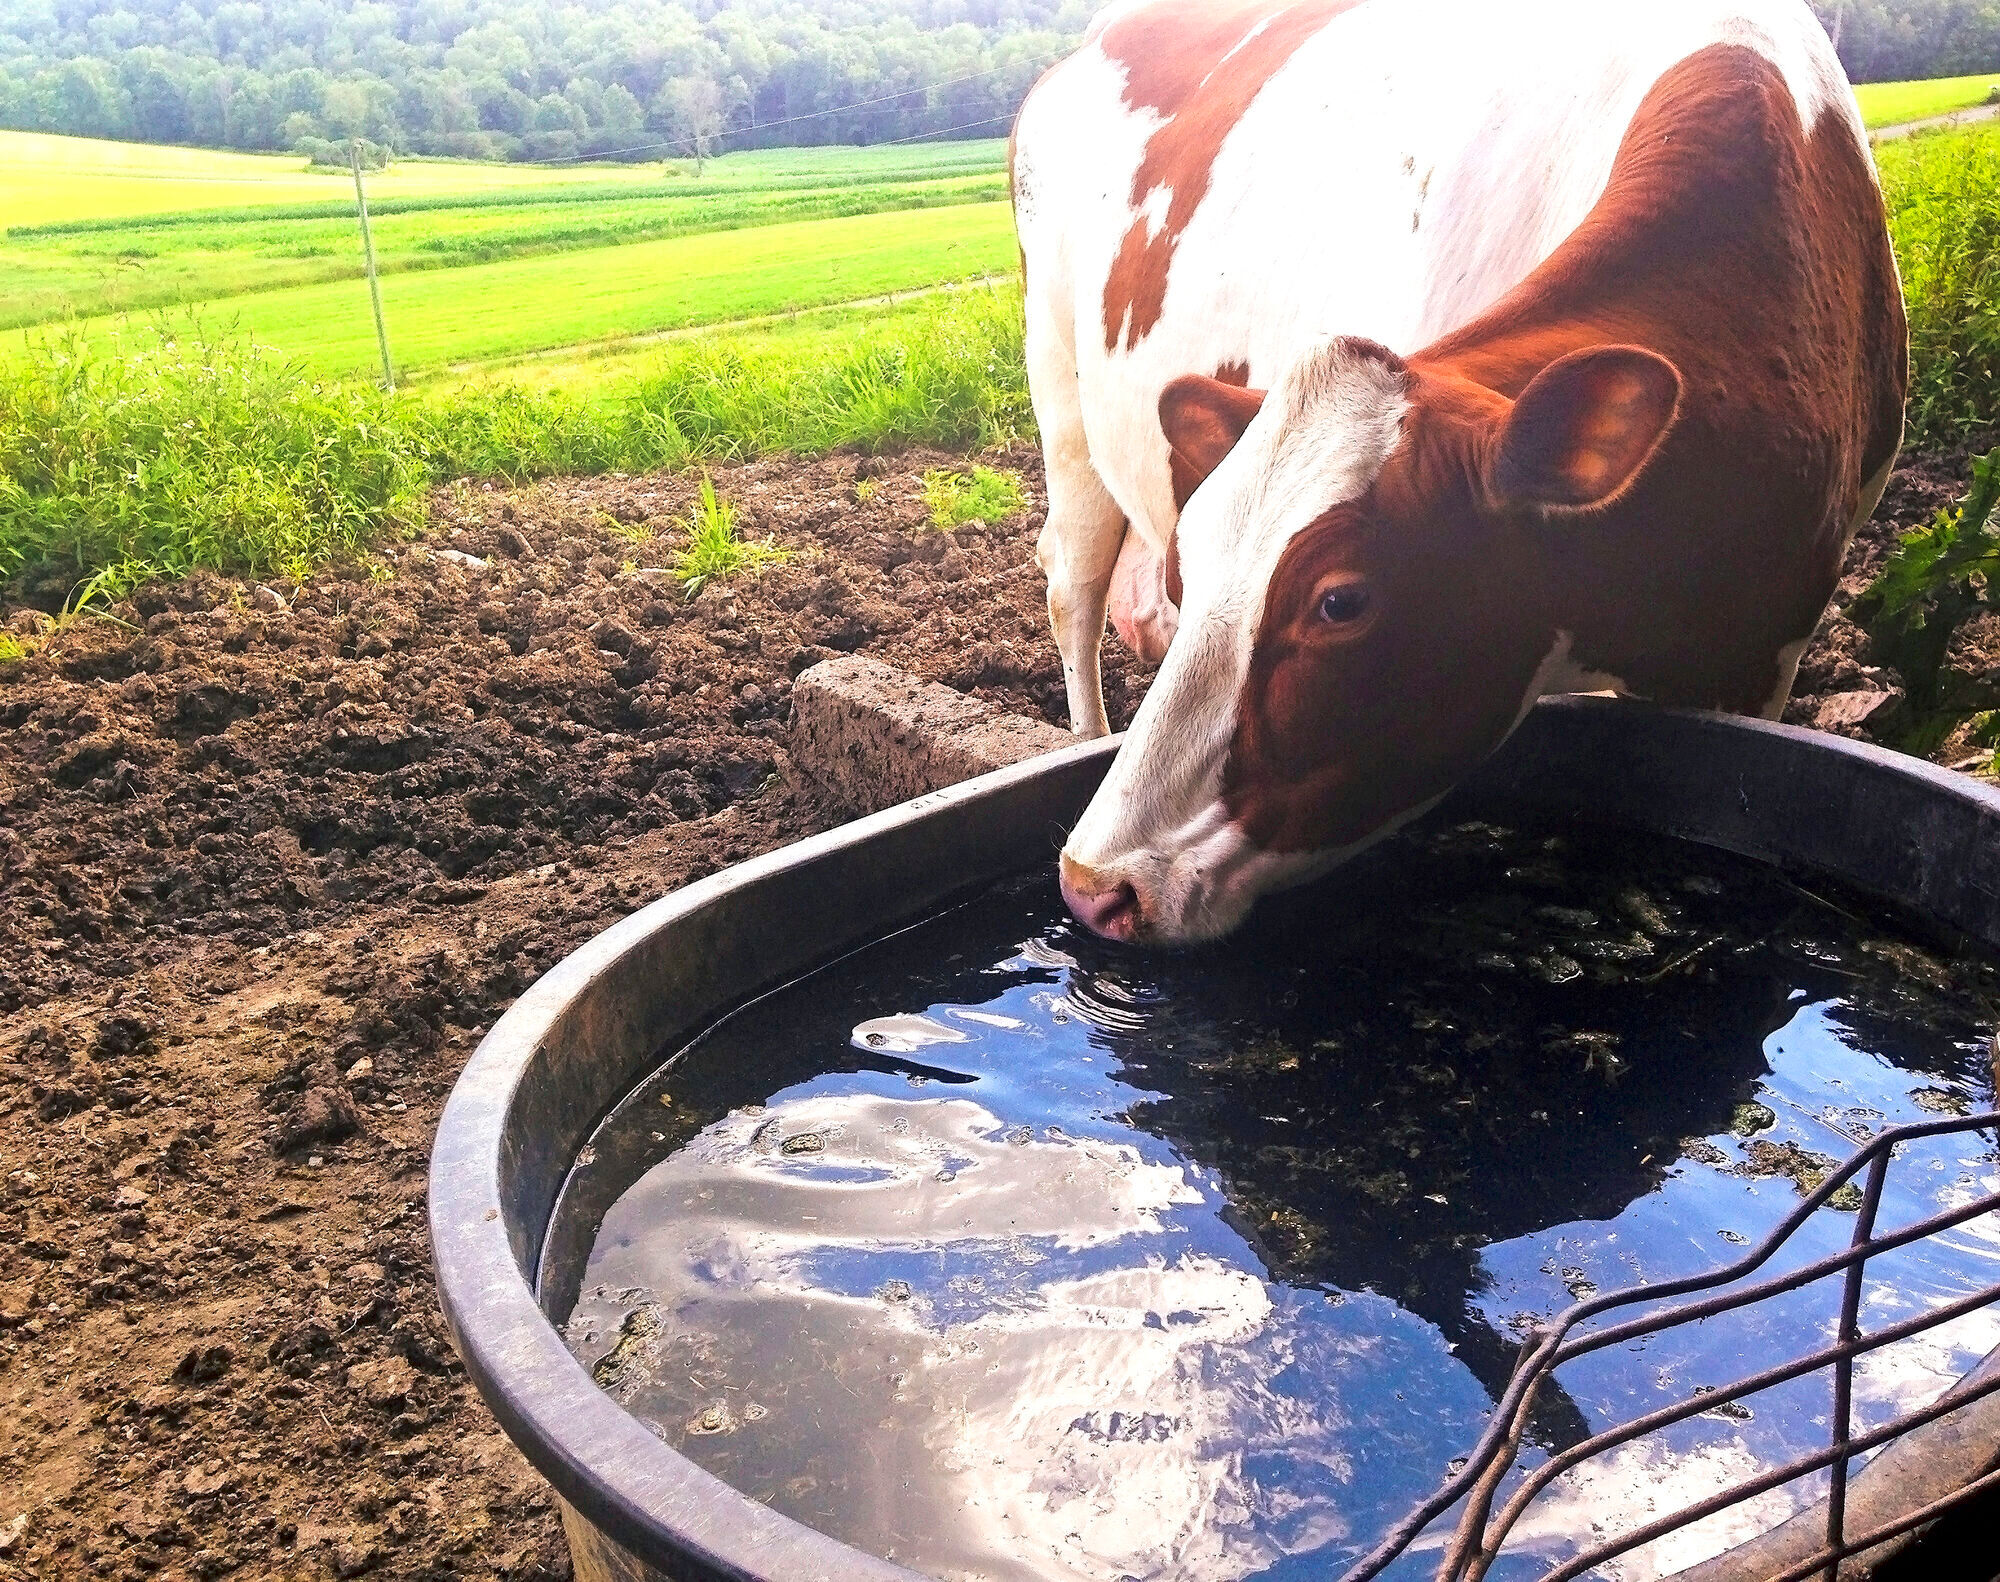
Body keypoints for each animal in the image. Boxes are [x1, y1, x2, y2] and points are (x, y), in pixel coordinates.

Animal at [1016, 0, 1904, 940]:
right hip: (1060, 388)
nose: (1095, 885)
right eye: (1191, 572)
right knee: (1071, 581)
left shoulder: (1762, 652)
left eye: (1341, 602)